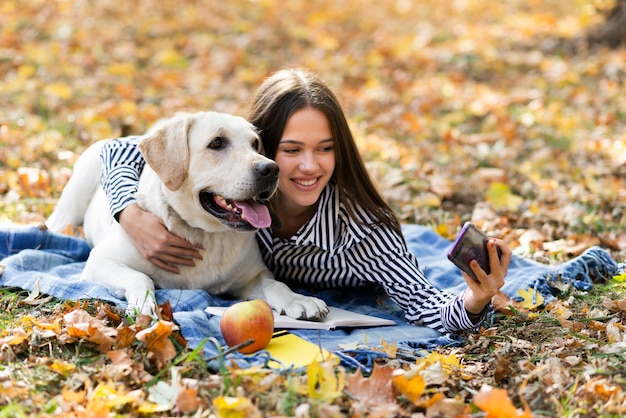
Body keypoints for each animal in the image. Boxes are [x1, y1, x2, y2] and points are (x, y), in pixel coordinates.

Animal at [47, 111, 330, 320]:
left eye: (255, 145)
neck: (206, 234)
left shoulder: (253, 275)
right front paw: (144, 304)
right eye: (217, 143)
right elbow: (140, 276)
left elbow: (276, 284)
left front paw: (298, 299)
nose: (271, 169)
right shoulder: (101, 260)